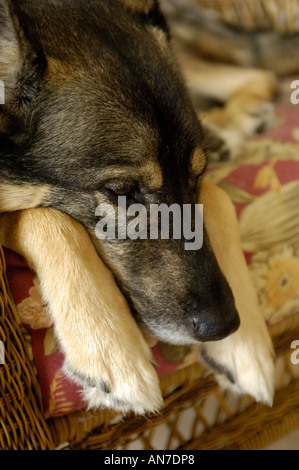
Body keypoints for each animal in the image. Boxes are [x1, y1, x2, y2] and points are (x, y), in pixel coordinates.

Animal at [0, 0, 276, 412]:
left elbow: (220, 197)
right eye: (121, 190)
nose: (223, 326)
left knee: (260, 74)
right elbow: (48, 216)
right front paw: (112, 350)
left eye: (197, 175)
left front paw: (247, 348)